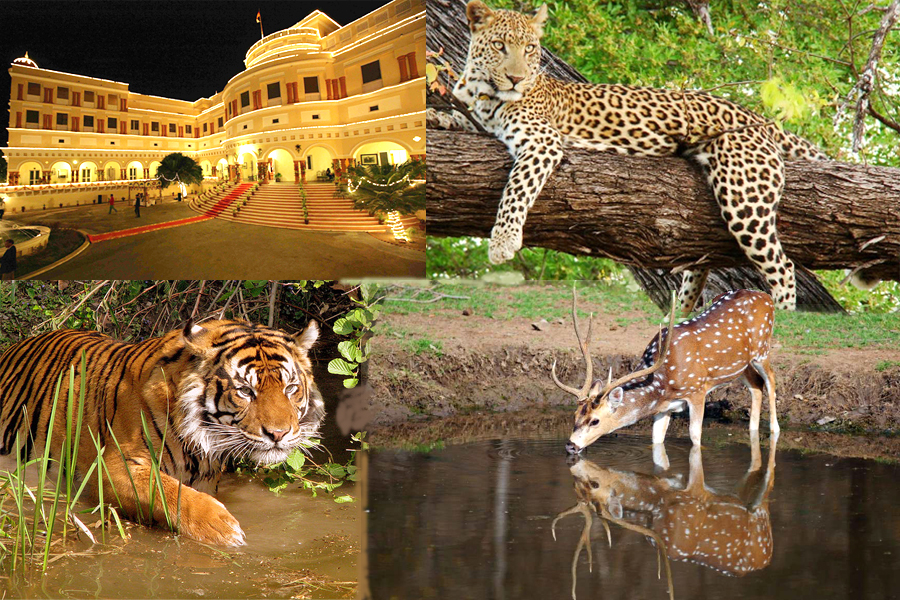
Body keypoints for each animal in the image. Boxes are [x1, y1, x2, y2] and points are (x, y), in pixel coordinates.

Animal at [0, 319, 323, 546]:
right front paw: (223, 529)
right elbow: (170, 491)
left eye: (290, 388)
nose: (278, 434)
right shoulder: (109, 467)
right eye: (245, 391)